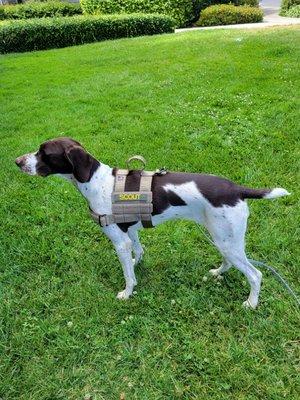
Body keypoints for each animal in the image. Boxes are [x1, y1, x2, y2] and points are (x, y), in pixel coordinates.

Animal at [15, 138, 290, 310]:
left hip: (228, 241)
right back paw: (217, 273)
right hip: (223, 238)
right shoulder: (130, 232)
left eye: (43, 153)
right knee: (230, 262)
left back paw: (251, 303)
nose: (17, 161)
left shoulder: (119, 241)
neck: (97, 181)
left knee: (255, 274)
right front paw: (137, 265)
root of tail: (237, 189)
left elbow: (128, 275)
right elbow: (138, 252)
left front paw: (127, 293)